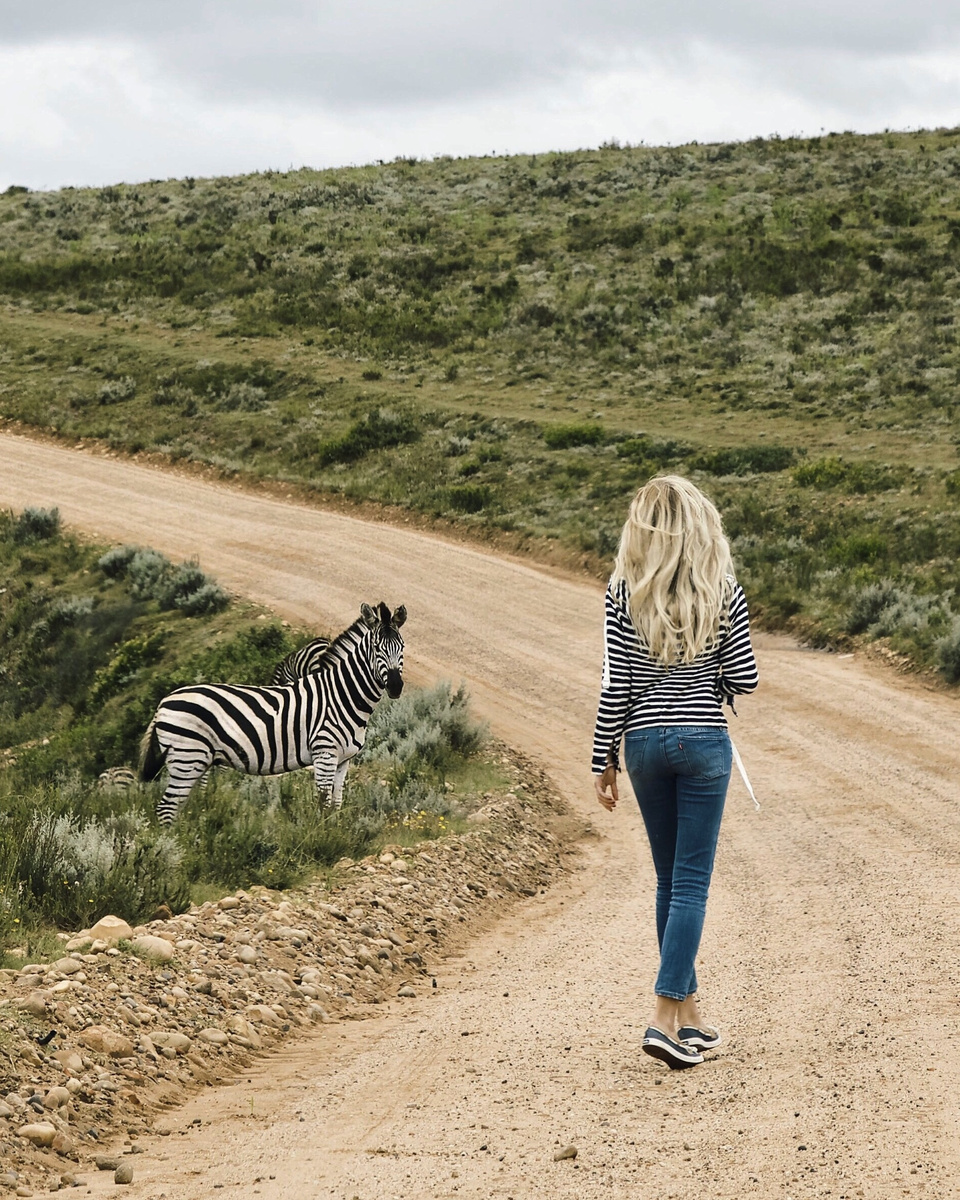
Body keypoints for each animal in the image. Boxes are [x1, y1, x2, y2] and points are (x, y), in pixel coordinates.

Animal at [139, 601, 406, 824]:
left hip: (196, 760)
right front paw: (320, 836)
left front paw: (334, 830)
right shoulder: (324, 753)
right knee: (166, 807)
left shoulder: (344, 760)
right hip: (187, 756)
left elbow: (336, 804)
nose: (395, 686)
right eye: (376, 648)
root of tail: (164, 702)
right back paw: (174, 848)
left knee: (179, 805)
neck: (341, 696)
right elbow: (322, 803)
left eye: (402, 647)